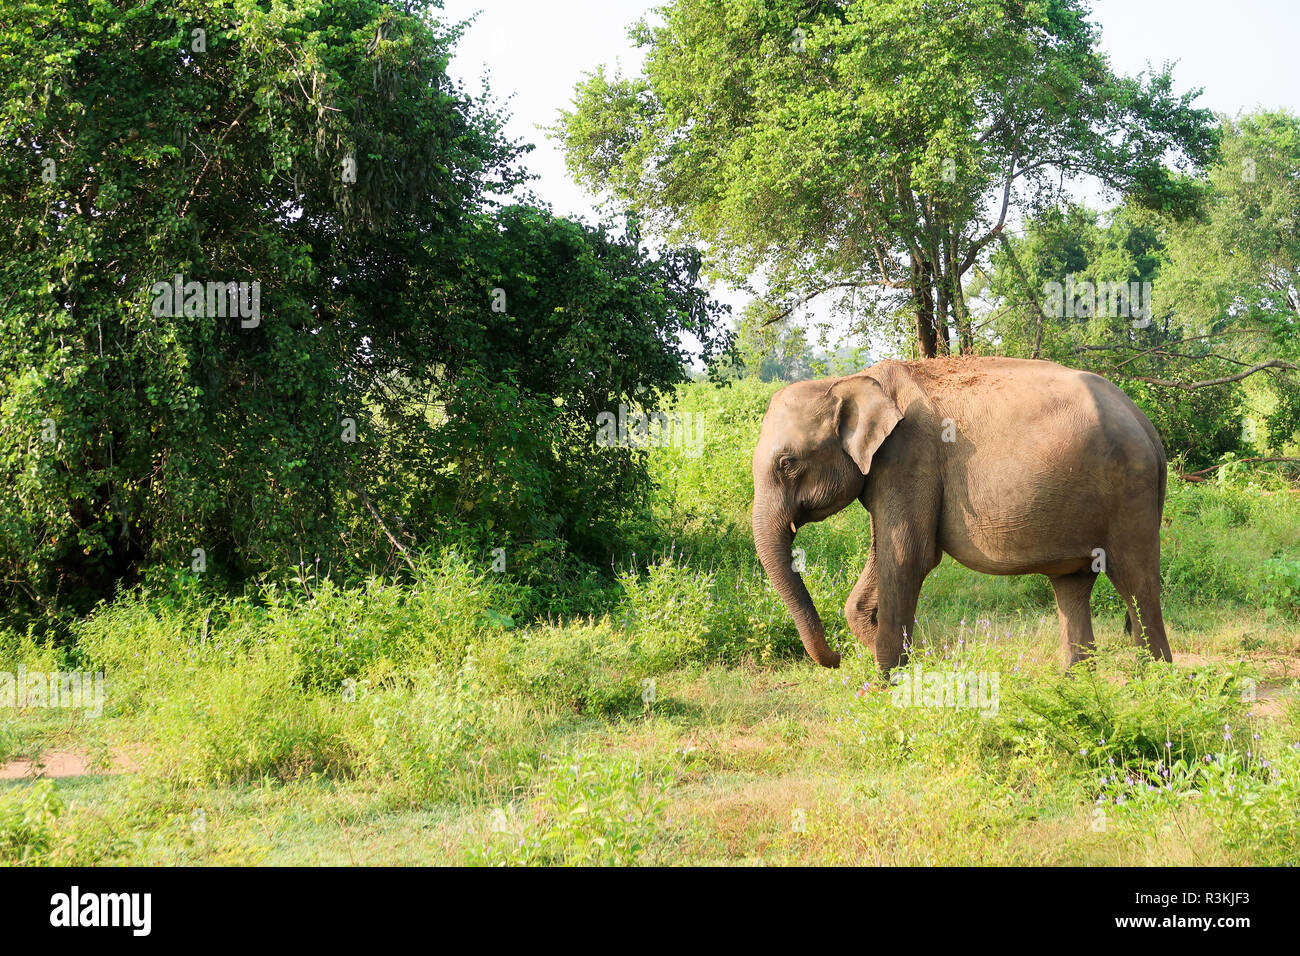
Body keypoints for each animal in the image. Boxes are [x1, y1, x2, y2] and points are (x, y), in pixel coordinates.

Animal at [748, 356, 1175, 671]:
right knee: (1072, 585)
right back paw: (1075, 685)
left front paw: (891, 685)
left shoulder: (910, 456)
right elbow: (886, 556)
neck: (850, 380)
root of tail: (1148, 427)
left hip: (1129, 493)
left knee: (1135, 584)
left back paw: (1153, 680)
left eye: (787, 463)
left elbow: (908, 557)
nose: (836, 659)